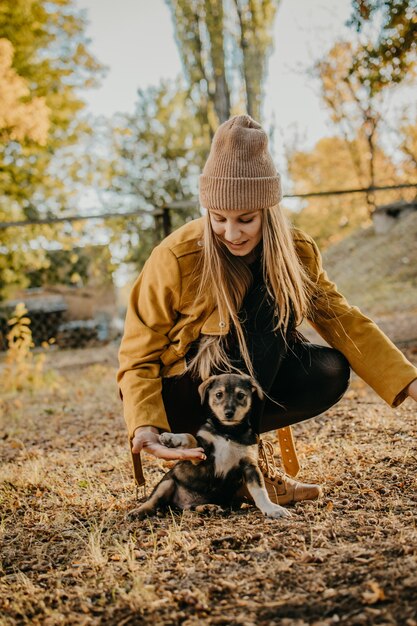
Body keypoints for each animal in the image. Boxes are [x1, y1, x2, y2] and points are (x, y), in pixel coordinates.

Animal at [127, 372, 290, 520]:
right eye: (218, 394)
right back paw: (138, 512)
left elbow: (260, 490)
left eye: (241, 395)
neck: (228, 431)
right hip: (167, 482)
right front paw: (172, 438)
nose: (229, 413)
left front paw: (271, 509)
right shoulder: (201, 456)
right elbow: (190, 437)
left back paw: (209, 508)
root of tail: (179, 504)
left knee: (190, 508)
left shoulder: (250, 466)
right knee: (152, 502)